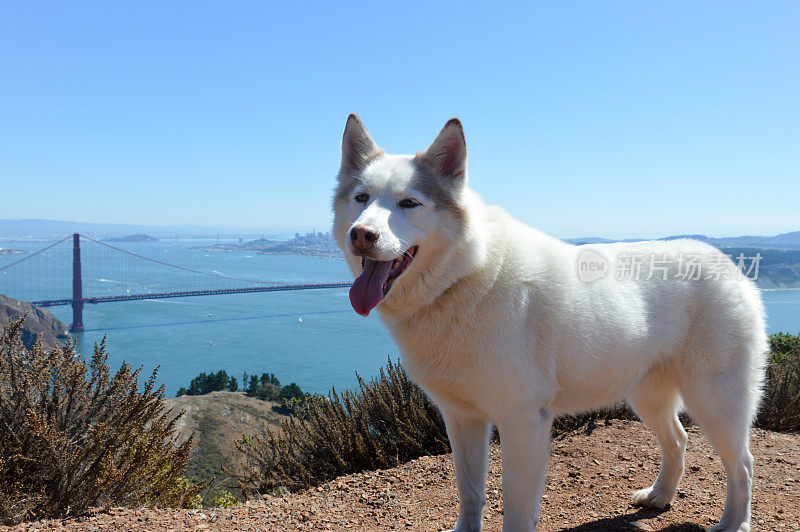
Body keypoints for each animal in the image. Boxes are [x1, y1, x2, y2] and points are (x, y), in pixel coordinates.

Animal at [332, 114, 768, 528]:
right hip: (648, 396)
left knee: (744, 466)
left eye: (408, 203)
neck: (463, 278)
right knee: (678, 440)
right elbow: (470, 494)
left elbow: (516, 510)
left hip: (716, 403)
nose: (361, 234)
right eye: (361, 198)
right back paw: (660, 496)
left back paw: (734, 523)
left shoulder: (523, 423)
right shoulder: (462, 418)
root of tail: (730, 264)